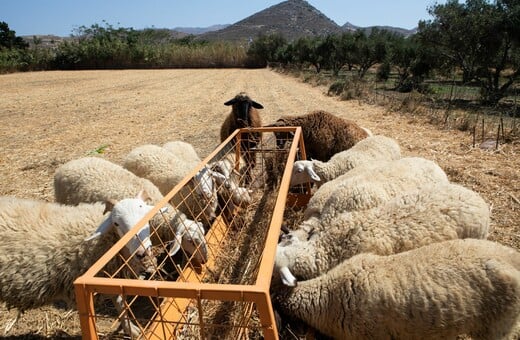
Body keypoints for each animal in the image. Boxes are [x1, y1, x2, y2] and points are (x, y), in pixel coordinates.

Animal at [0, 193, 158, 336]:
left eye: (147, 216)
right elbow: (117, 303)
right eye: (116, 223)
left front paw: (131, 329)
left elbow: (120, 303)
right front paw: (132, 330)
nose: (143, 252)